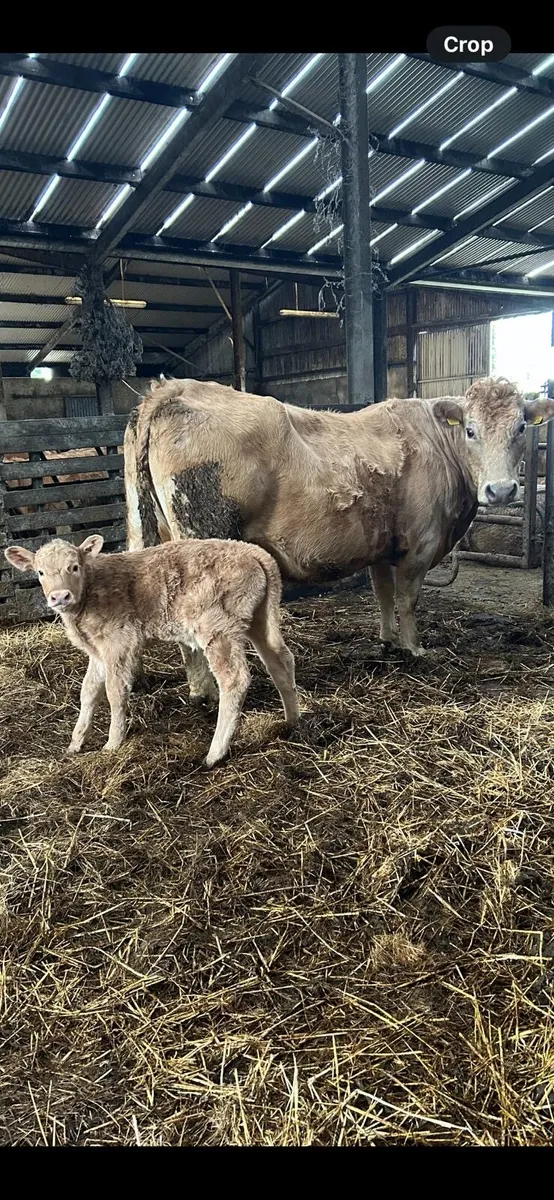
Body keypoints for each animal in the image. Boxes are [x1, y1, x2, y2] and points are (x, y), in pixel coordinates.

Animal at [4, 535, 300, 768]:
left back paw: (214, 754)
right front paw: (75, 744)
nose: (59, 597)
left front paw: (113, 744)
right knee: (281, 660)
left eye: (74, 566)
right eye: (40, 572)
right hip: (260, 618)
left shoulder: (118, 642)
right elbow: (88, 692)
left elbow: (114, 692)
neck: (90, 589)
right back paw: (291, 722)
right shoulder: (98, 651)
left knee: (234, 679)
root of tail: (252, 551)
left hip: (218, 627)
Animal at [123, 375, 554, 700]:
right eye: (470, 430)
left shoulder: (382, 546)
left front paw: (388, 641)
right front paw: (414, 648)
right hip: (203, 537)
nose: (502, 491)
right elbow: (408, 599)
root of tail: (174, 387)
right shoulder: (420, 544)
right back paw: (206, 690)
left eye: (520, 428)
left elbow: (383, 594)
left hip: (146, 529)